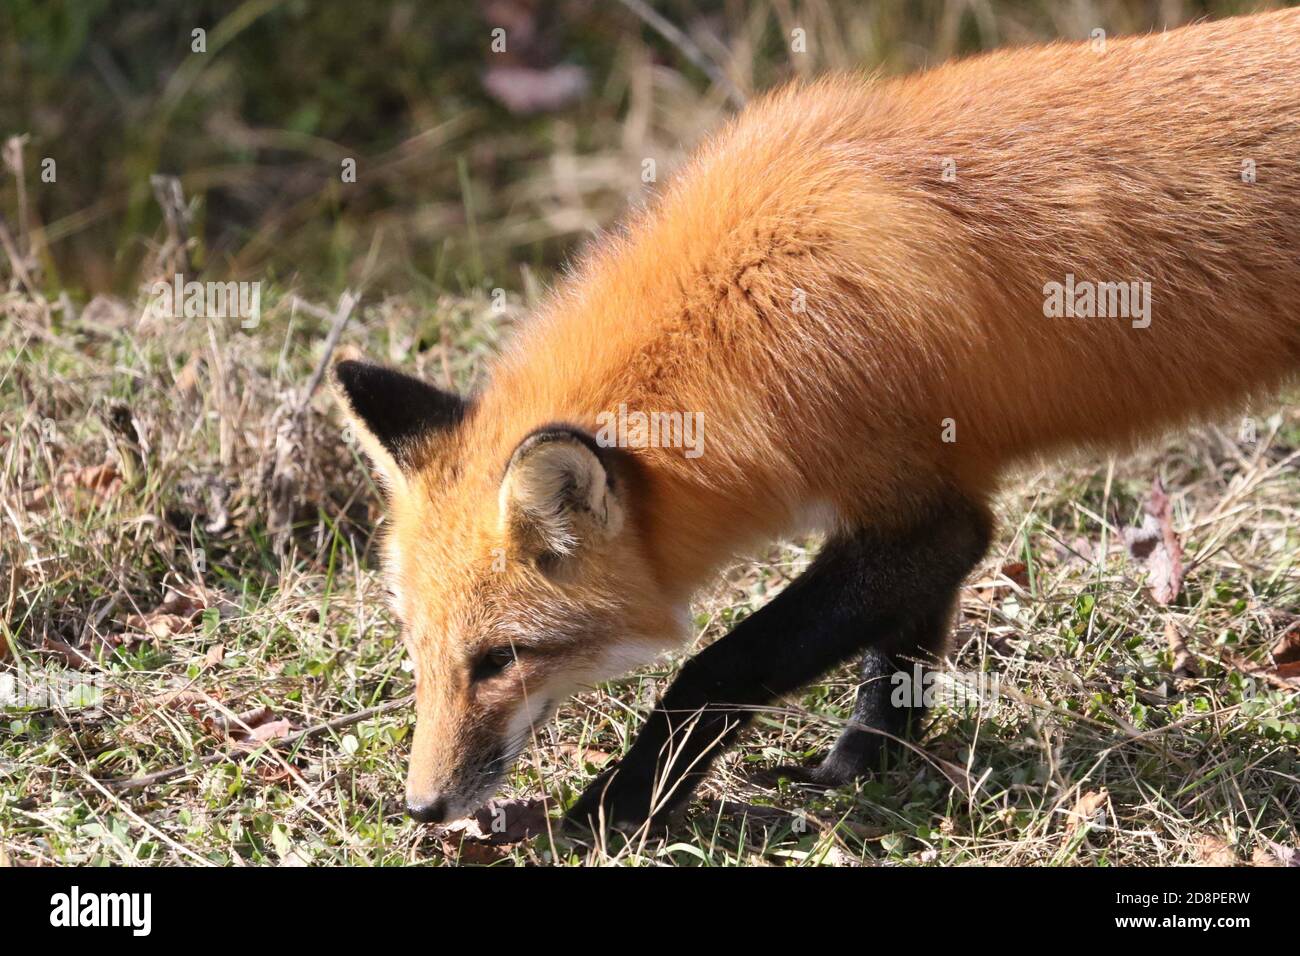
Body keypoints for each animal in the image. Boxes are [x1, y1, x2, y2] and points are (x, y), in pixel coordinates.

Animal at [334, 8, 1300, 833]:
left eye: (499, 659)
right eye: (420, 654)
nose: (422, 809)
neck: (744, 313)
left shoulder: (922, 513)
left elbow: (719, 665)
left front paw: (622, 803)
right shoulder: (922, 504)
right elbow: (901, 655)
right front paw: (861, 767)